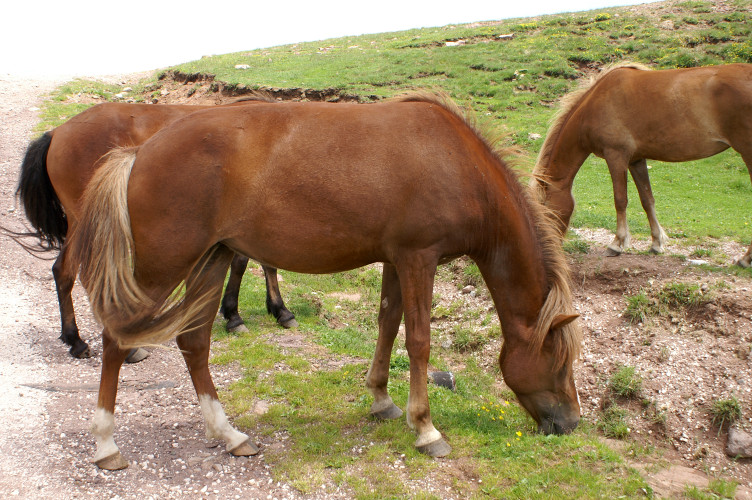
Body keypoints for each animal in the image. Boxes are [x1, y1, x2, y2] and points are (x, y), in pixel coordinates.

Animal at [15, 100, 298, 359]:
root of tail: (57, 132)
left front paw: (261, 311)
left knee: (65, 272)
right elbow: (249, 263)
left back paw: (74, 338)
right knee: (79, 274)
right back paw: (99, 344)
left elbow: (257, 263)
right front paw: (255, 313)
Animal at [68, 93, 582, 469]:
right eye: (560, 361)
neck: (456, 164)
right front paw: (425, 428)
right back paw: (106, 444)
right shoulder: (419, 258)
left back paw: (229, 434)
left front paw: (381, 400)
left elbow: (387, 323)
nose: (571, 422)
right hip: (162, 268)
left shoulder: (396, 260)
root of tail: (139, 152)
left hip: (212, 261)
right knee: (116, 338)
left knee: (193, 343)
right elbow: (418, 340)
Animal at [532, 62, 752, 267]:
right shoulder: (636, 160)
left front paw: (617, 244)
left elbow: (620, 199)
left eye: (546, 211)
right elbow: (647, 199)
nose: (547, 249)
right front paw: (656, 243)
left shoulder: (616, 156)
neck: (593, 106)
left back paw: (745, 259)